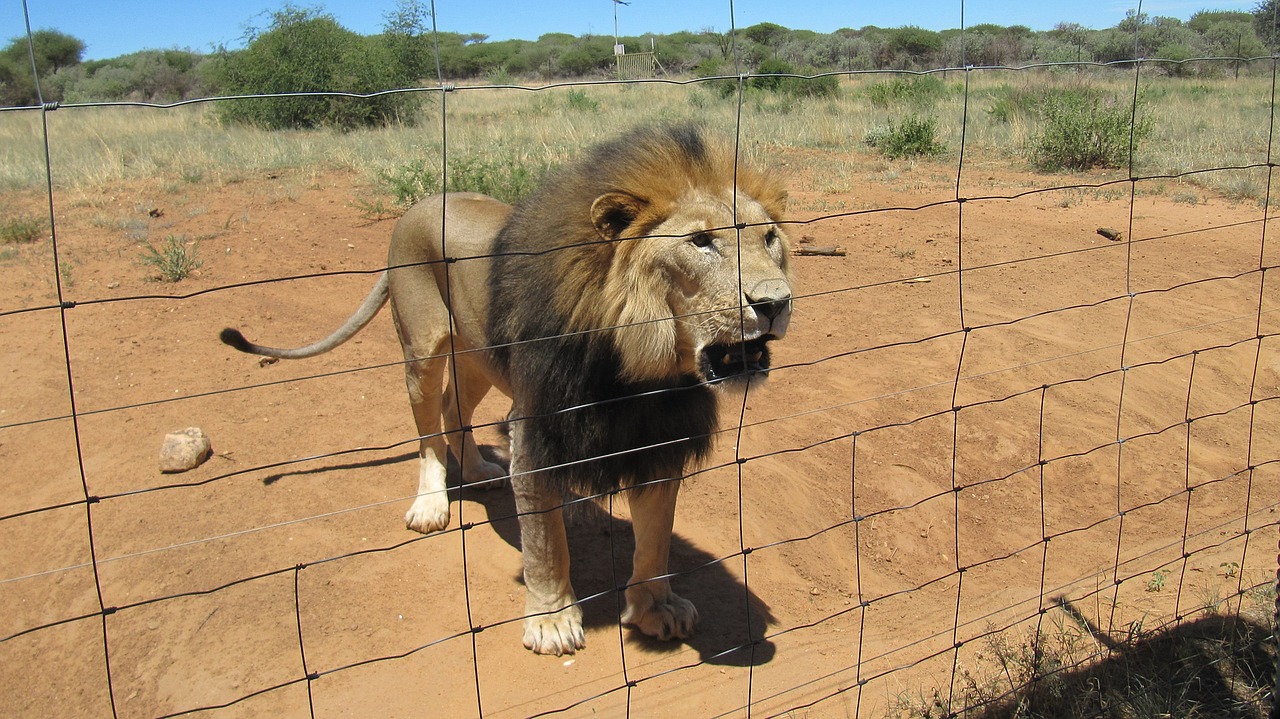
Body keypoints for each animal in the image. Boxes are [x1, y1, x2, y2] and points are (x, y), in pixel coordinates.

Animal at [225, 122, 793, 655]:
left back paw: (481, 473)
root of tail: (422, 203)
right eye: (700, 242)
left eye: (769, 239)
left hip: (477, 358)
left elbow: (654, 541)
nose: (775, 302)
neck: (640, 368)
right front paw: (552, 621)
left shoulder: (659, 434)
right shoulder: (536, 427)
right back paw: (431, 504)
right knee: (427, 428)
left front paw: (656, 609)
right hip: (423, 348)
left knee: (455, 410)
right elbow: (545, 543)